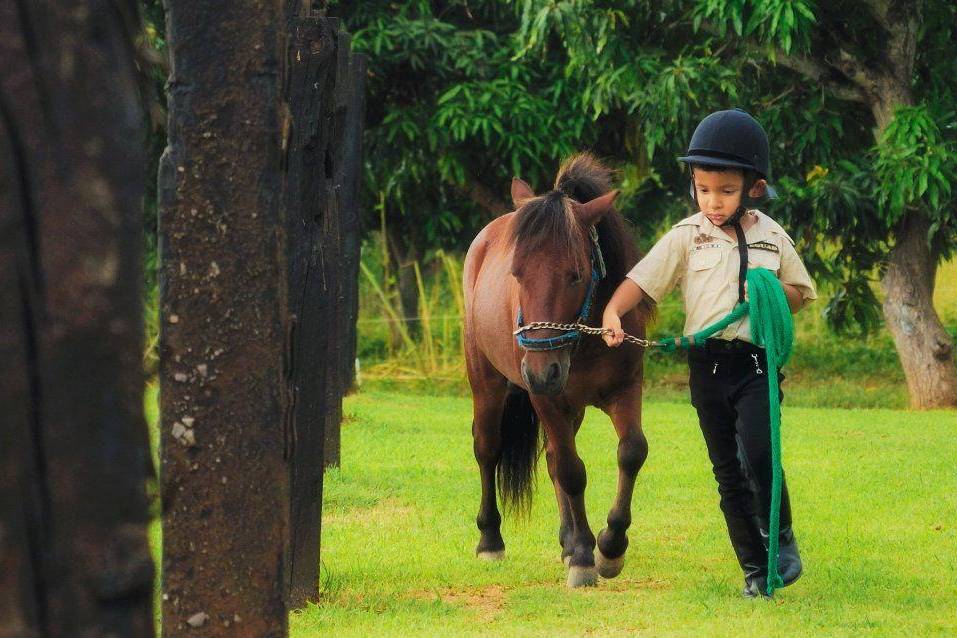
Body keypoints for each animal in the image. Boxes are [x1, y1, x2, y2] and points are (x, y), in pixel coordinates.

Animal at [462, 154, 648, 592]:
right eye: (516, 273)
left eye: (576, 273)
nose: (540, 371)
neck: (588, 337)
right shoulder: (546, 399)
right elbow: (571, 471)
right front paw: (583, 555)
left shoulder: (625, 388)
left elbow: (631, 451)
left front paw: (610, 546)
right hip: (488, 383)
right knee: (488, 448)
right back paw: (490, 540)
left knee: (550, 459)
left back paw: (566, 541)